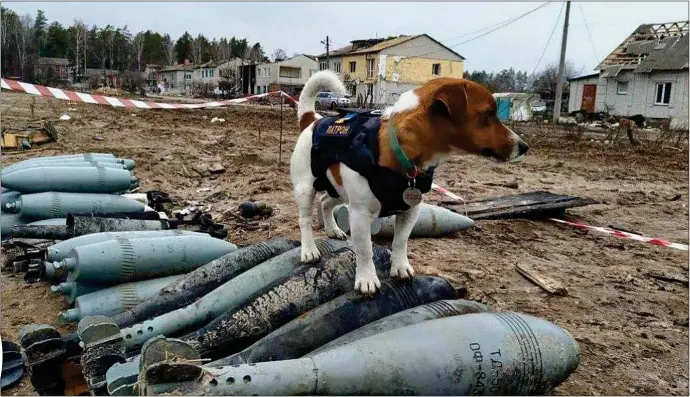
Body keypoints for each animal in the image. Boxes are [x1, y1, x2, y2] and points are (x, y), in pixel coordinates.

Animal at [288, 70, 524, 294]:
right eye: (488, 114)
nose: (524, 146)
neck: (399, 151)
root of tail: (312, 119)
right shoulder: (360, 214)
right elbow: (365, 250)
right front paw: (367, 279)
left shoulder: (411, 209)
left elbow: (401, 241)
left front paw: (400, 267)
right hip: (306, 190)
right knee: (305, 219)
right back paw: (309, 250)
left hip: (337, 189)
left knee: (325, 202)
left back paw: (333, 229)